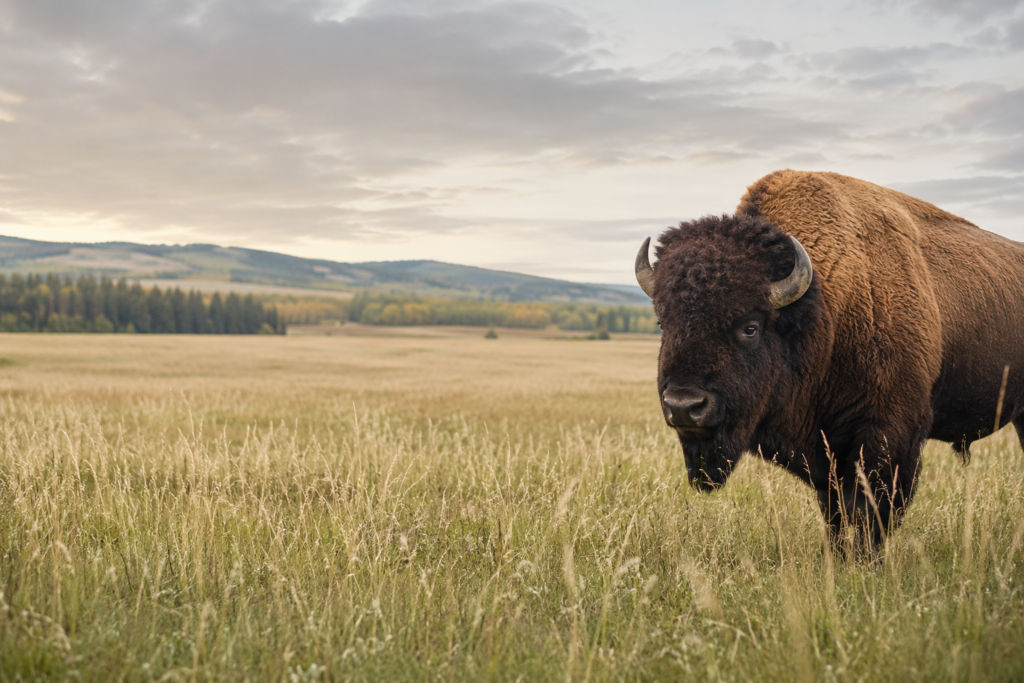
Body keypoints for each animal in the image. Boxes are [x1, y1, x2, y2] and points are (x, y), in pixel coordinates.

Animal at [635, 170, 1024, 551]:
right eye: (663, 323)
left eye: (750, 327)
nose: (684, 406)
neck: (825, 307)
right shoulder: (827, 454)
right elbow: (834, 511)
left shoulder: (889, 436)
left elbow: (870, 514)